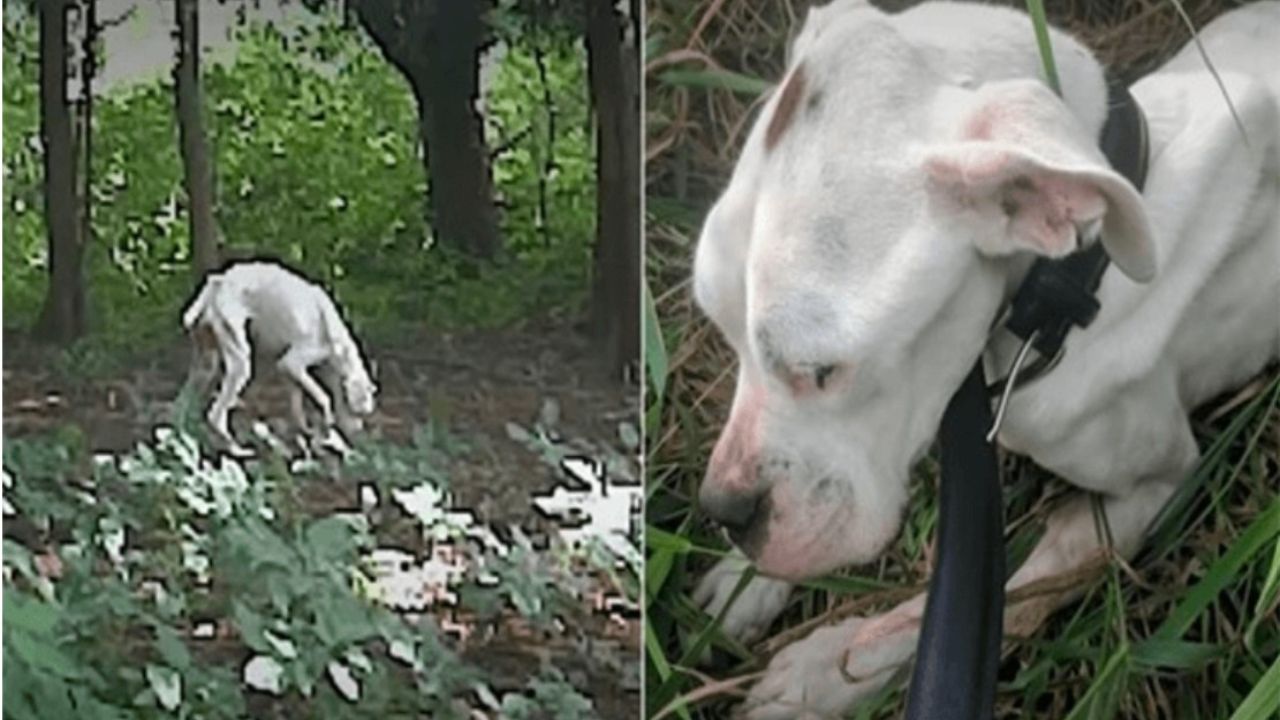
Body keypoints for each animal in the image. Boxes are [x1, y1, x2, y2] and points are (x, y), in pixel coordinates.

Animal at [183, 257, 376, 450]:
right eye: (360, 412)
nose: (359, 431)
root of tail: (218, 280)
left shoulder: (288, 371)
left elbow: (296, 404)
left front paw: (304, 431)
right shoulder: (292, 362)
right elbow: (324, 397)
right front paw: (325, 422)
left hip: (205, 362)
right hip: (239, 362)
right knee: (215, 416)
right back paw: (235, 448)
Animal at [691, 2, 1280, 712]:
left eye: (820, 370)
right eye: (723, 330)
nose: (725, 513)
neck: (1076, 279)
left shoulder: (1157, 488)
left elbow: (995, 593)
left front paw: (826, 671)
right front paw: (746, 581)